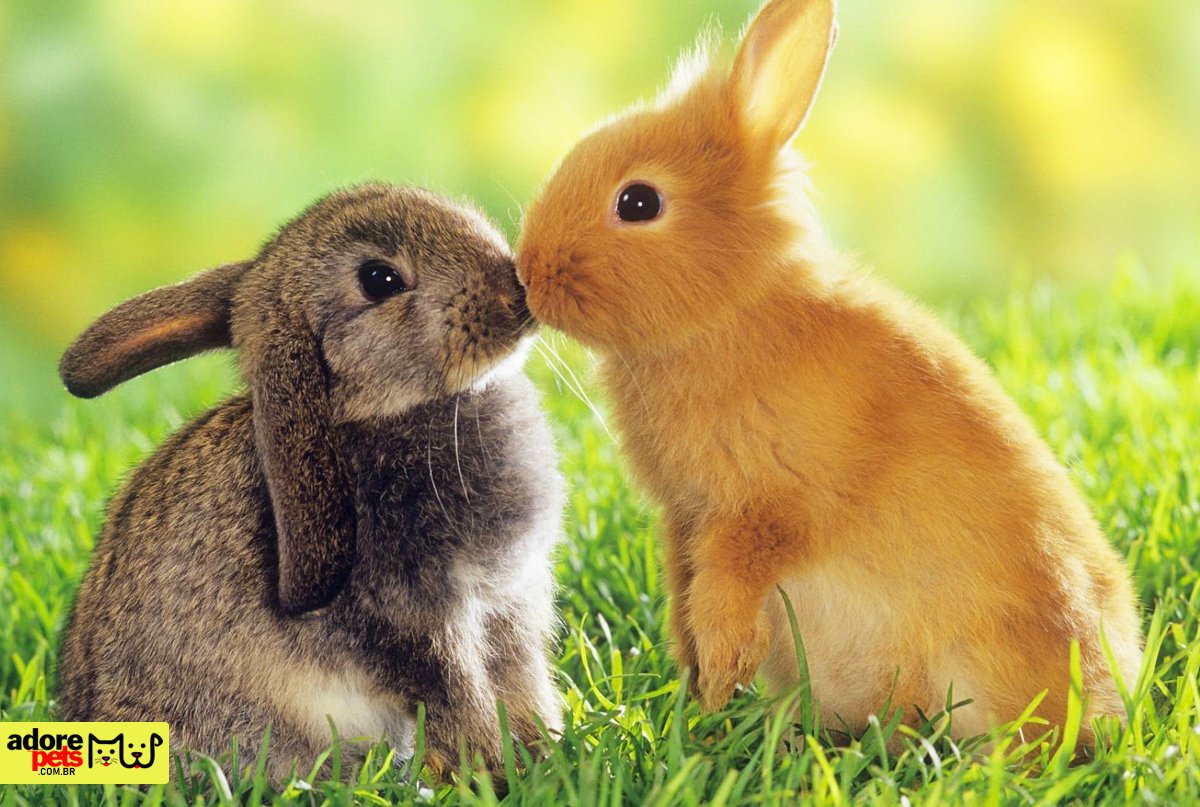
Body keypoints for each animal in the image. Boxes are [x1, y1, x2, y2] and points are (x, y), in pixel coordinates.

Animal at [56, 183, 565, 783]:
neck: (370, 410)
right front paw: (498, 770)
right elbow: (459, 697)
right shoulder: (416, 618)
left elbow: (522, 683)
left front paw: (548, 754)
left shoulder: (508, 605)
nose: (516, 294)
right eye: (379, 280)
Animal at [515, 0, 1142, 745]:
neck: (731, 311)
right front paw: (700, 693)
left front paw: (720, 679)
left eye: (638, 202)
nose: (527, 274)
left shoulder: (766, 509)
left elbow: (727, 590)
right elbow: (685, 594)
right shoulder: (685, 518)